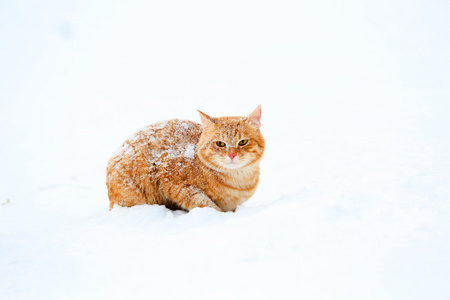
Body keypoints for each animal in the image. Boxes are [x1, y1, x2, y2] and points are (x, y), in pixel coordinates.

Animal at [107, 105, 266, 211]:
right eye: (220, 143)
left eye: (243, 142)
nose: (232, 154)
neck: (238, 182)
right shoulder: (173, 181)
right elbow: (205, 203)